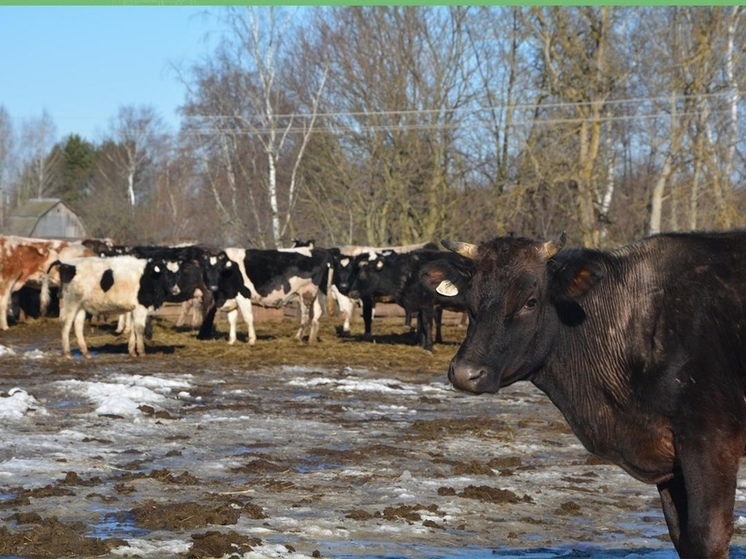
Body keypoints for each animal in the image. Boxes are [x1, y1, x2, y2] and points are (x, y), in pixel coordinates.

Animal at [50, 255, 182, 358]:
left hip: (81, 306)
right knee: (66, 324)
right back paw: (67, 353)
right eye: (165, 273)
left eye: (178, 274)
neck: (149, 277)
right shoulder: (140, 307)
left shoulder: (134, 309)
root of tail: (66, 263)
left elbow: (133, 329)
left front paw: (132, 352)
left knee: (78, 326)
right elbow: (139, 329)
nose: (175, 290)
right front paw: (141, 351)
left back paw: (86, 353)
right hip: (71, 303)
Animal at [434, 230, 746, 556]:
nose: (465, 372)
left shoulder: (712, 440)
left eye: (530, 302)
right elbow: (681, 537)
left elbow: (706, 536)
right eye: (471, 300)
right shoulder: (670, 462)